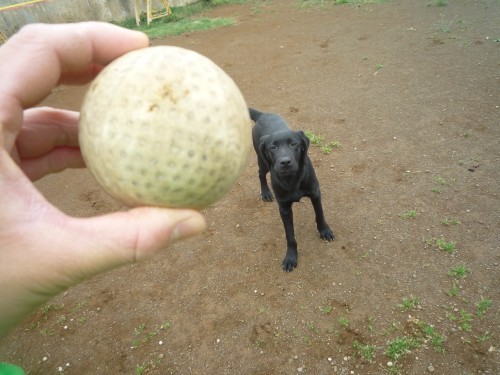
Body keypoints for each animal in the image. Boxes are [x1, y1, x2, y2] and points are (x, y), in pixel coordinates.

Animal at [250, 107, 336, 272]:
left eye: (293, 144)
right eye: (273, 147)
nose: (285, 162)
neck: (292, 179)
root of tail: (263, 114)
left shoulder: (315, 193)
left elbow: (320, 214)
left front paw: (324, 230)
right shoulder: (284, 208)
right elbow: (290, 236)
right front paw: (291, 256)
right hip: (263, 161)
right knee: (260, 174)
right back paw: (265, 192)